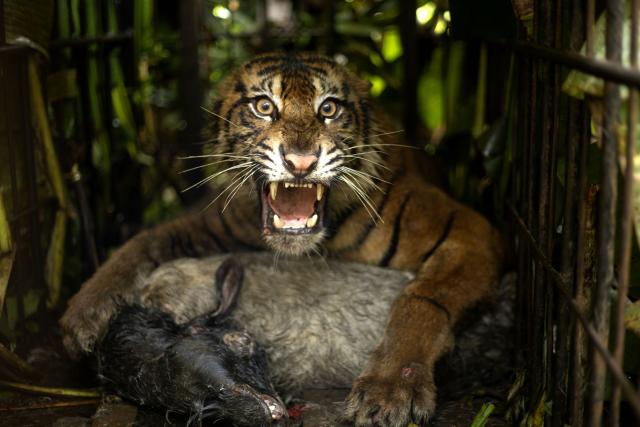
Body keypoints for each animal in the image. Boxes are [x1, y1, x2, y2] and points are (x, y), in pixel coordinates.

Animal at [60, 52, 504, 426]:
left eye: (328, 109)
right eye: (264, 106)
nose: (301, 161)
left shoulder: (467, 229)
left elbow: (424, 300)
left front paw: (391, 389)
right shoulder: (213, 226)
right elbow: (143, 243)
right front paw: (84, 314)